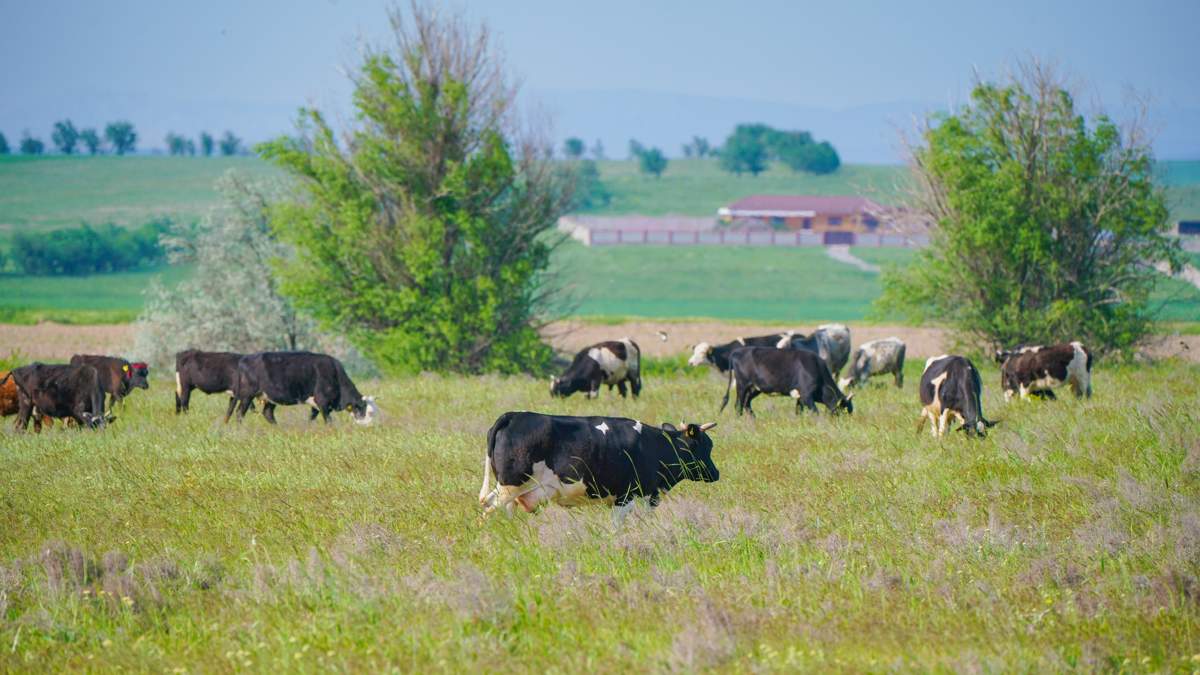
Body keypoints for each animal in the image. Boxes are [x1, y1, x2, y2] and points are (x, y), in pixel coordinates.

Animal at [230, 348, 376, 422]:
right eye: (365, 410)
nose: (367, 426)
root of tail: (244, 358)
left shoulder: (316, 404)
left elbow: (312, 418)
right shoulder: (322, 400)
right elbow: (328, 420)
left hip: (269, 397)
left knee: (267, 413)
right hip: (247, 395)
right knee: (239, 412)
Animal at [477, 410, 715, 521]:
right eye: (706, 445)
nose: (716, 473)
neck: (654, 446)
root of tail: (514, 415)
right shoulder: (627, 496)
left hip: (510, 489)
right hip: (511, 485)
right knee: (488, 509)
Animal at [720, 345, 854, 415]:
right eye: (844, 410)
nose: (845, 425)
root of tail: (738, 351)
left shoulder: (801, 397)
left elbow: (799, 411)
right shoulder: (806, 394)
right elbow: (815, 412)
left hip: (755, 388)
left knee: (747, 404)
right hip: (742, 385)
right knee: (739, 405)